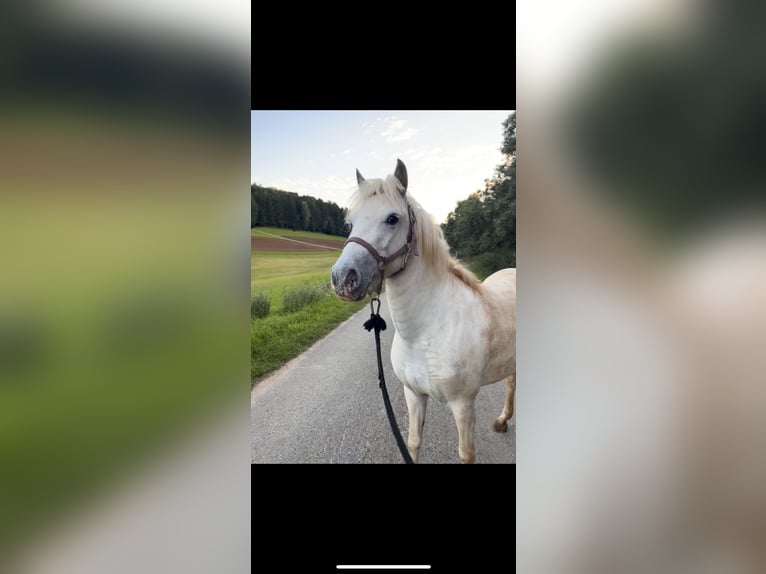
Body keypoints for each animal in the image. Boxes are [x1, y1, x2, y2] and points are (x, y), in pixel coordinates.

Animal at [331, 159, 516, 463]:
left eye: (392, 218)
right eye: (351, 221)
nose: (342, 278)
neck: (426, 333)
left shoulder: (463, 405)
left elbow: (466, 453)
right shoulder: (414, 395)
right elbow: (414, 442)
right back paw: (502, 421)